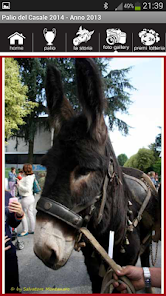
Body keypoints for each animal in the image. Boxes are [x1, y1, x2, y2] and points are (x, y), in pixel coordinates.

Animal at [33, 58, 160, 294]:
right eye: (45, 166)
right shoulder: (94, 271)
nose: (44, 250)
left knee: (147, 259)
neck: (109, 232)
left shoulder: (124, 269)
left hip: (147, 245)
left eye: (84, 171)